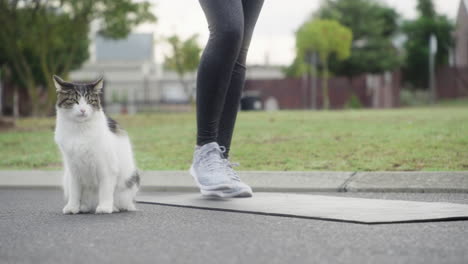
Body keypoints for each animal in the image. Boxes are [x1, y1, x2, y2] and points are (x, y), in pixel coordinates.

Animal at [53, 75, 140, 214]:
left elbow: (105, 190)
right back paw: (83, 207)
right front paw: (72, 207)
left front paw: (104, 207)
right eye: (74, 100)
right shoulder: (73, 168)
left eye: (89, 101)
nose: (83, 110)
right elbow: (74, 191)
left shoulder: (107, 167)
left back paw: (113, 207)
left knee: (120, 203)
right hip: (66, 178)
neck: (80, 129)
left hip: (129, 183)